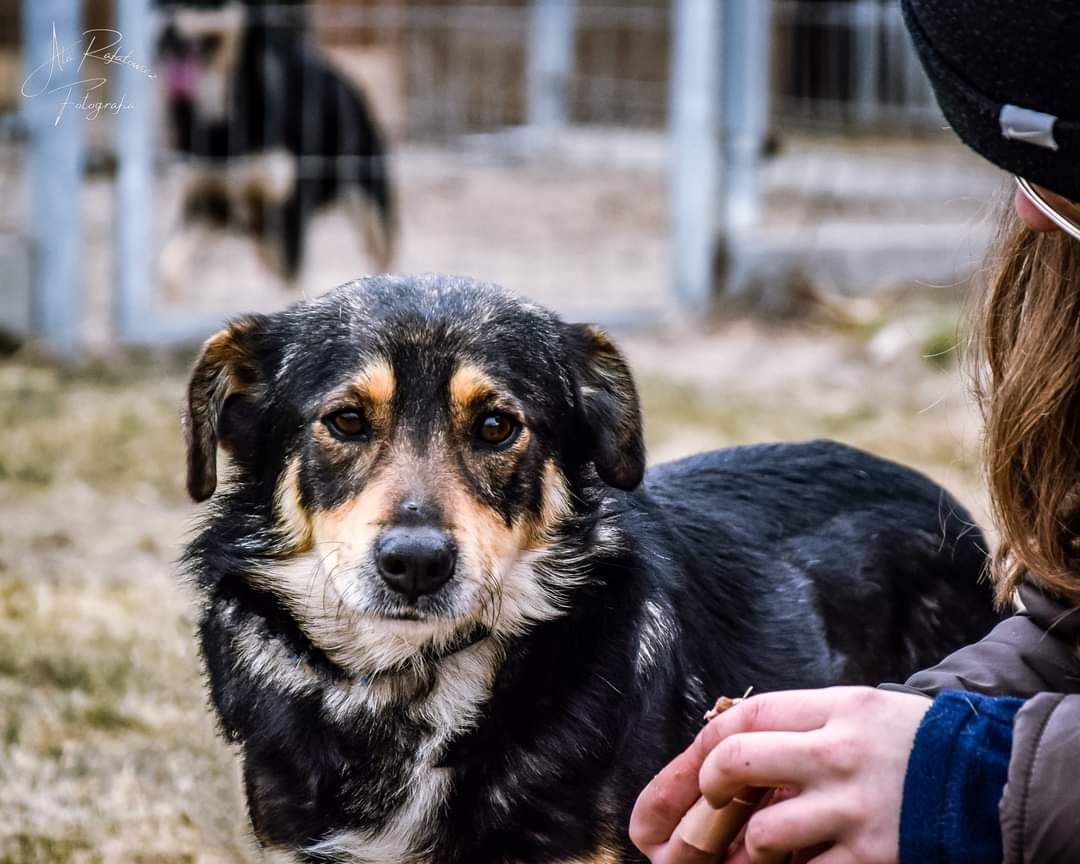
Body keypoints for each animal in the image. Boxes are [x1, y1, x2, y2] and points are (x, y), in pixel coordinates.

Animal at [156, 0, 397, 293]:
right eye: (155, 6)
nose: (164, 34)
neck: (225, 120)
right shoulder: (206, 203)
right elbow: (169, 267)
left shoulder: (288, 210)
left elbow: (289, 282)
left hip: (371, 210)